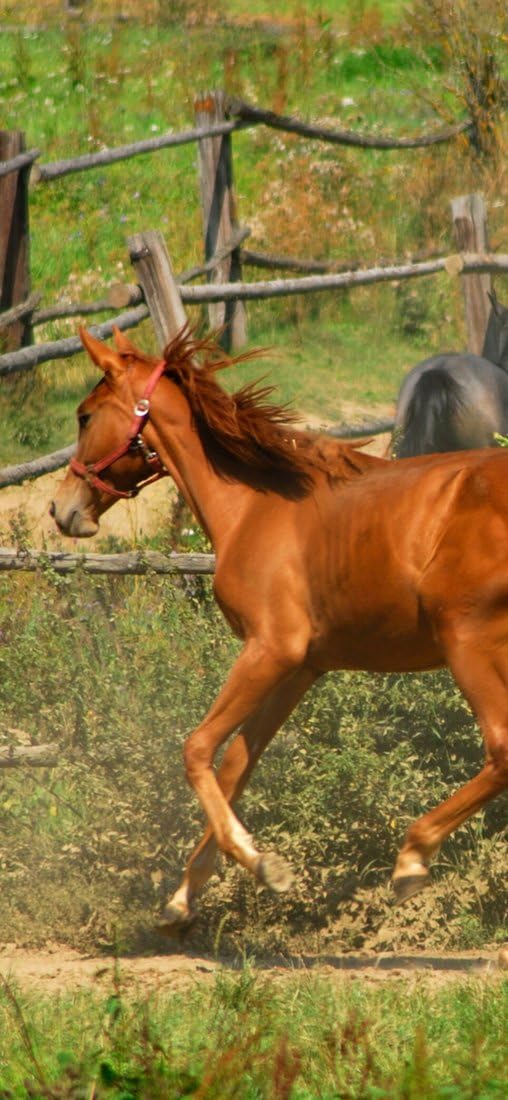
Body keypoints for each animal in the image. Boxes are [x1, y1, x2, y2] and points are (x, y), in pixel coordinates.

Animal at [50, 326, 508, 934]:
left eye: (84, 416)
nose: (60, 509)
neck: (254, 507)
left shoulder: (269, 650)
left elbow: (197, 749)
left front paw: (263, 865)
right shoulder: (301, 668)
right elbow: (235, 766)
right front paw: (183, 899)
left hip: (468, 644)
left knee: (501, 749)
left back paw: (412, 859)